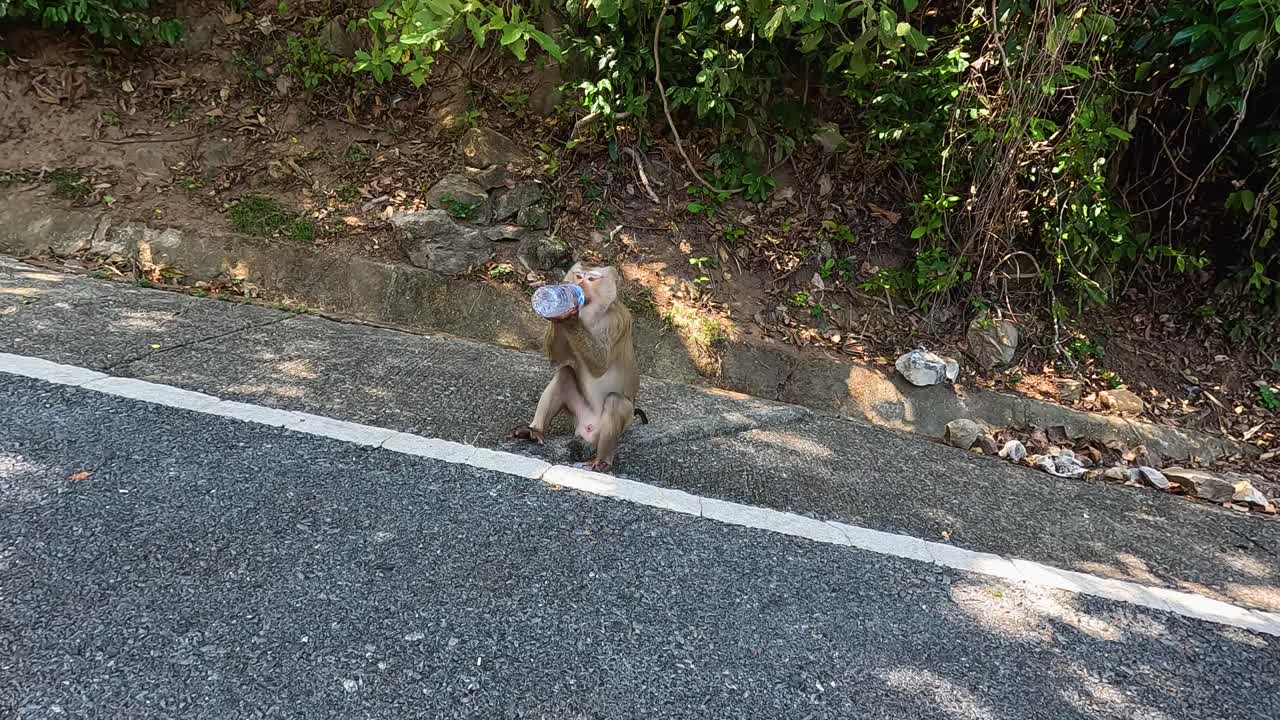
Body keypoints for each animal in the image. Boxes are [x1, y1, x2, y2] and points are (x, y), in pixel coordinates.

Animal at [509, 263, 646, 472]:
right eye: (579, 276)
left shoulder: (617, 320)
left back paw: (602, 460)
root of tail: (588, 428)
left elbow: (600, 365)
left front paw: (570, 316)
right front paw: (559, 314)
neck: (591, 316)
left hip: (622, 423)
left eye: (591, 279)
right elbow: (558, 360)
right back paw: (535, 431)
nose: (579, 284)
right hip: (579, 413)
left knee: (615, 401)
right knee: (564, 373)